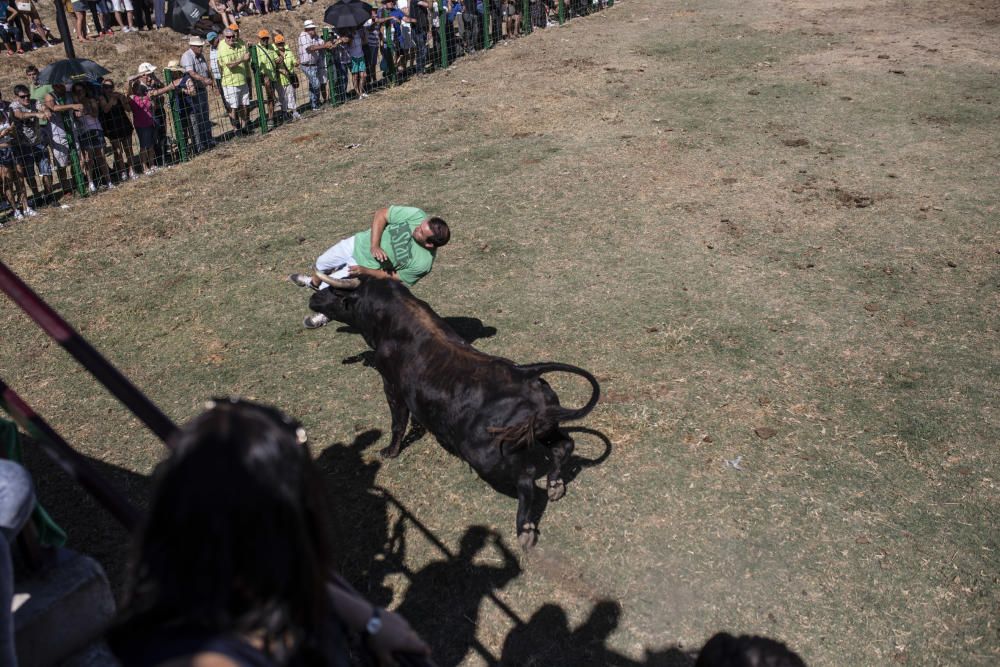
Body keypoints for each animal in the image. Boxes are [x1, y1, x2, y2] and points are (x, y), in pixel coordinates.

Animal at [308, 280, 596, 552]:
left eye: (333, 289)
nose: (312, 297)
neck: (392, 319)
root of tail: (526, 374)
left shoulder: (391, 386)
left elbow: (397, 422)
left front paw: (390, 451)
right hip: (542, 429)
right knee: (563, 445)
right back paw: (555, 484)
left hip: (486, 457)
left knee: (526, 480)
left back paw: (525, 529)